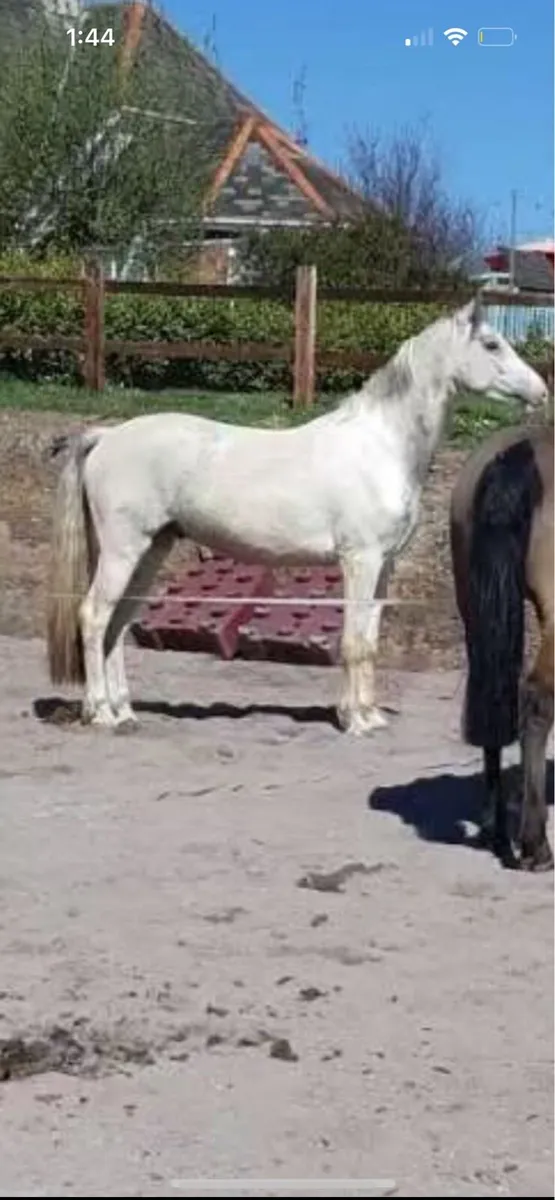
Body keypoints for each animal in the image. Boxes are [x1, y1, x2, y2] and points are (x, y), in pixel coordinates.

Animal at [46, 296, 548, 733]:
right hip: (123, 549)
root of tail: (106, 437)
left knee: (117, 624)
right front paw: (355, 722)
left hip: (152, 549)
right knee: (94, 616)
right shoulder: (359, 561)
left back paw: (124, 712)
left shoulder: (383, 567)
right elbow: (353, 642)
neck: (381, 446)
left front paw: (368, 716)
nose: (541, 392)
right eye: (491, 345)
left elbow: (370, 641)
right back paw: (100, 713)